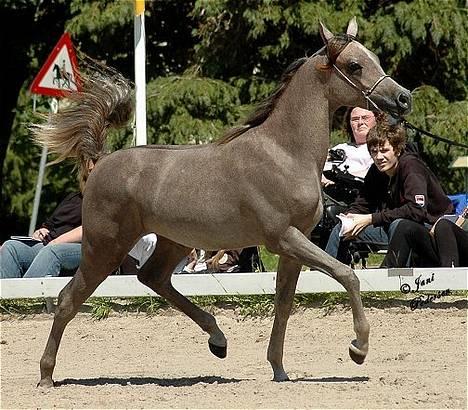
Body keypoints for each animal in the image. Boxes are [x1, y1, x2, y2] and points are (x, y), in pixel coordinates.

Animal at [33, 16, 412, 388]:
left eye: (374, 58)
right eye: (354, 65)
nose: (404, 98)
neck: (285, 153)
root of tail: (100, 162)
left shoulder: (294, 244)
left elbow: (284, 302)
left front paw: (279, 369)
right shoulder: (283, 238)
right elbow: (347, 275)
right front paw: (358, 348)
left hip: (172, 242)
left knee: (152, 278)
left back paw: (218, 339)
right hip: (105, 247)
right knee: (68, 299)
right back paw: (46, 375)